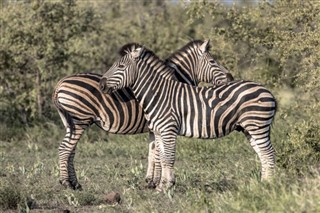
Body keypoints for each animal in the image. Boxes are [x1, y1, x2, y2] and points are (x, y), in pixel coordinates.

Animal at [52, 39, 232, 190]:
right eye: (213, 61)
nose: (231, 77)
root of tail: (60, 83)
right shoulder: (161, 123)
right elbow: (159, 155)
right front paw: (157, 182)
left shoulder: (155, 126)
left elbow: (152, 154)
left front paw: (150, 181)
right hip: (80, 120)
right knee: (65, 149)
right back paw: (66, 183)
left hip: (71, 122)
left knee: (70, 151)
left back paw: (75, 183)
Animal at [100, 42, 278, 191]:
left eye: (121, 66)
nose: (101, 84)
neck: (158, 94)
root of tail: (267, 91)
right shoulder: (158, 131)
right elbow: (161, 158)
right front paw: (161, 185)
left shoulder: (168, 130)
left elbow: (168, 158)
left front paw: (167, 185)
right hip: (249, 129)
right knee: (263, 155)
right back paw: (263, 184)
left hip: (257, 126)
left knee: (268, 153)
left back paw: (269, 186)